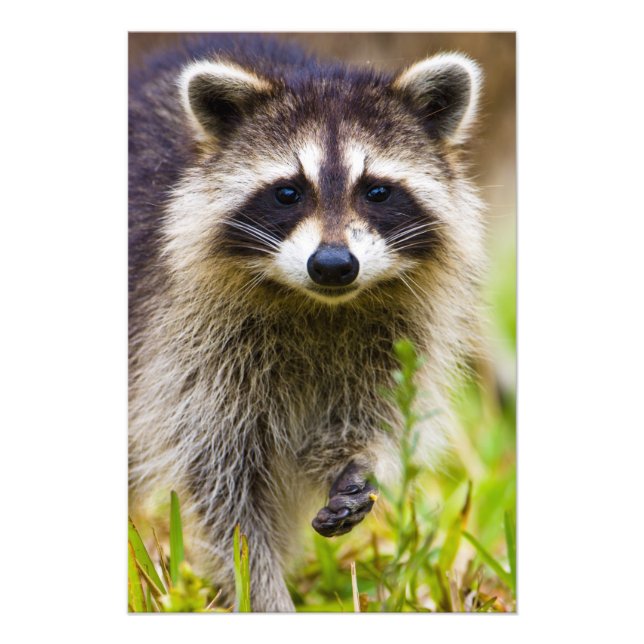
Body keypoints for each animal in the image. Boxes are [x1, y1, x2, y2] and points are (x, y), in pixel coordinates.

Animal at [129, 34, 484, 612]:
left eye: (377, 191)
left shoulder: (400, 334)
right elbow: (223, 489)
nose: (334, 264)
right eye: (288, 192)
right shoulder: (184, 341)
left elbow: (376, 415)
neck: (321, 306)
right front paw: (262, 593)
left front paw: (360, 462)